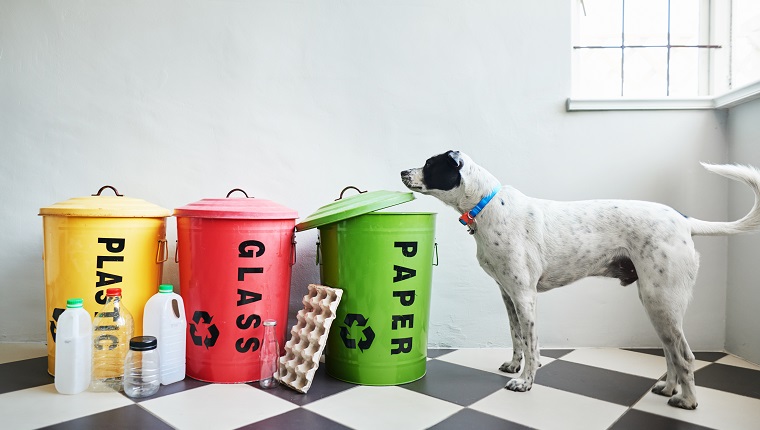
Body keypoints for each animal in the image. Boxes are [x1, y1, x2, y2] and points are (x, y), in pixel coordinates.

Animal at [400, 151, 760, 410]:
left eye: (430, 164)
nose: (402, 172)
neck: (488, 206)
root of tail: (683, 220)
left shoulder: (525, 295)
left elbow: (531, 344)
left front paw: (526, 381)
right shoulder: (508, 295)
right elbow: (517, 338)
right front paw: (515, 367)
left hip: (662, 300)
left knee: (684, 354)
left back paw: (687, 400)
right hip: (657, 304)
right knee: (671, 350)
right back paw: (669, 387)